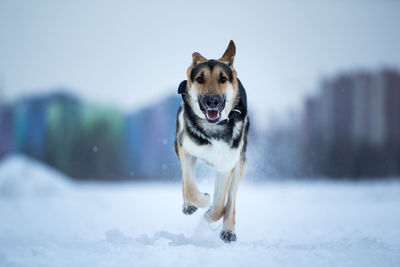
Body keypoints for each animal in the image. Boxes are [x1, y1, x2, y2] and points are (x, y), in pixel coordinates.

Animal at [173, 40, 248, 244]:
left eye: (223, 79)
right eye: (200, 79)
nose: (212, 101)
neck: (213, 129)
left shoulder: (226, 166)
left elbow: (220, 206)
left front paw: (209, 214)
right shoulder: (186, 150)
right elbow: (190, 187)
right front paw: (202, 200)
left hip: (239, 164)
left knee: (230, 202)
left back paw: (228, 230)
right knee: (185, 181)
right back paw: (189, 205)